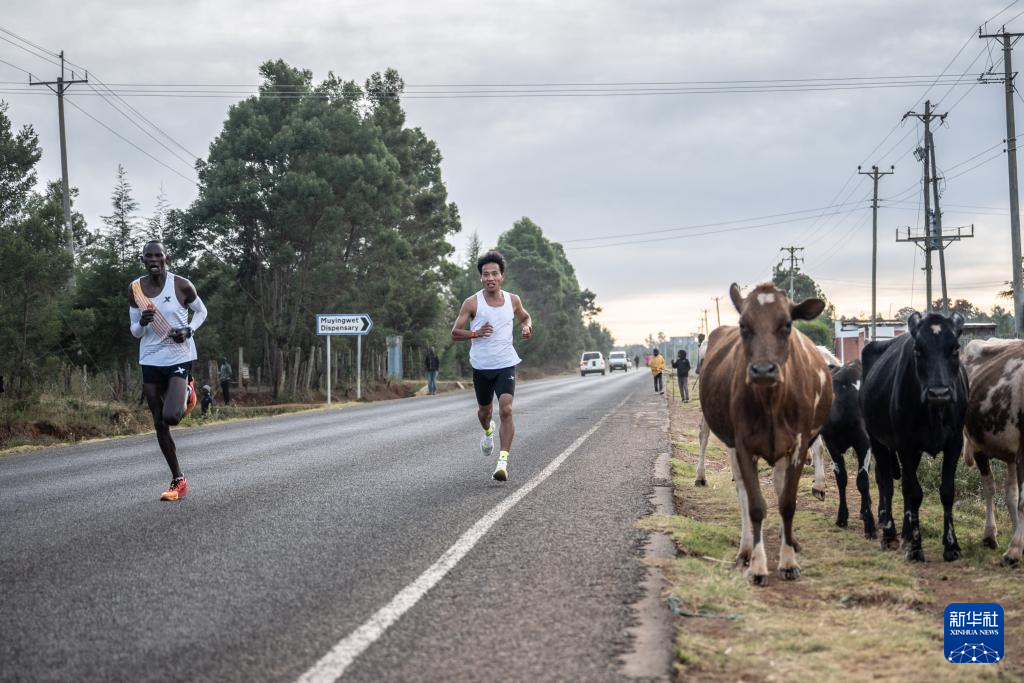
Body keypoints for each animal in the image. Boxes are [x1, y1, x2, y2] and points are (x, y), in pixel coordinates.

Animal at [699, 282, 832, 585]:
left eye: (787, 324)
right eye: (743, 325)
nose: (762, 370)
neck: (771, 402)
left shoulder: (798, 445)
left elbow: (787, 502)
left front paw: (788, 560)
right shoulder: (743, 446)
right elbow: (756, 505)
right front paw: (759, 566)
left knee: (779, 485)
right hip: (729, 442)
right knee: (740, 490)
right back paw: (746, 548)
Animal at [820, 360, 875, 537]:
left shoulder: (864, 443)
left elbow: (862, 481)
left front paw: (869, 524)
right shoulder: (832, 446)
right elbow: (841, 479)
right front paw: (842, 517)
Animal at [860, 311, 967, 562]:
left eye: (955, 348)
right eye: (918, 349)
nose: (939, 392)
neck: (934, 412)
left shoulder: (955, 442)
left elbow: (946, 491)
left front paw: (951, 545)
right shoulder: (905, 444)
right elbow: (914, 492)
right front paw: (916, 547)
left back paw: (906, 534)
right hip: (877, 440)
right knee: (887, 483)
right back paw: (890, 535)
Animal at [961, 338, 1024, 565]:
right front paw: (1013, 551)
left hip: (1010, 454)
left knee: (1010, 493)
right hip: (979, 444)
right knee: (990, 488)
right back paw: (990, 536)